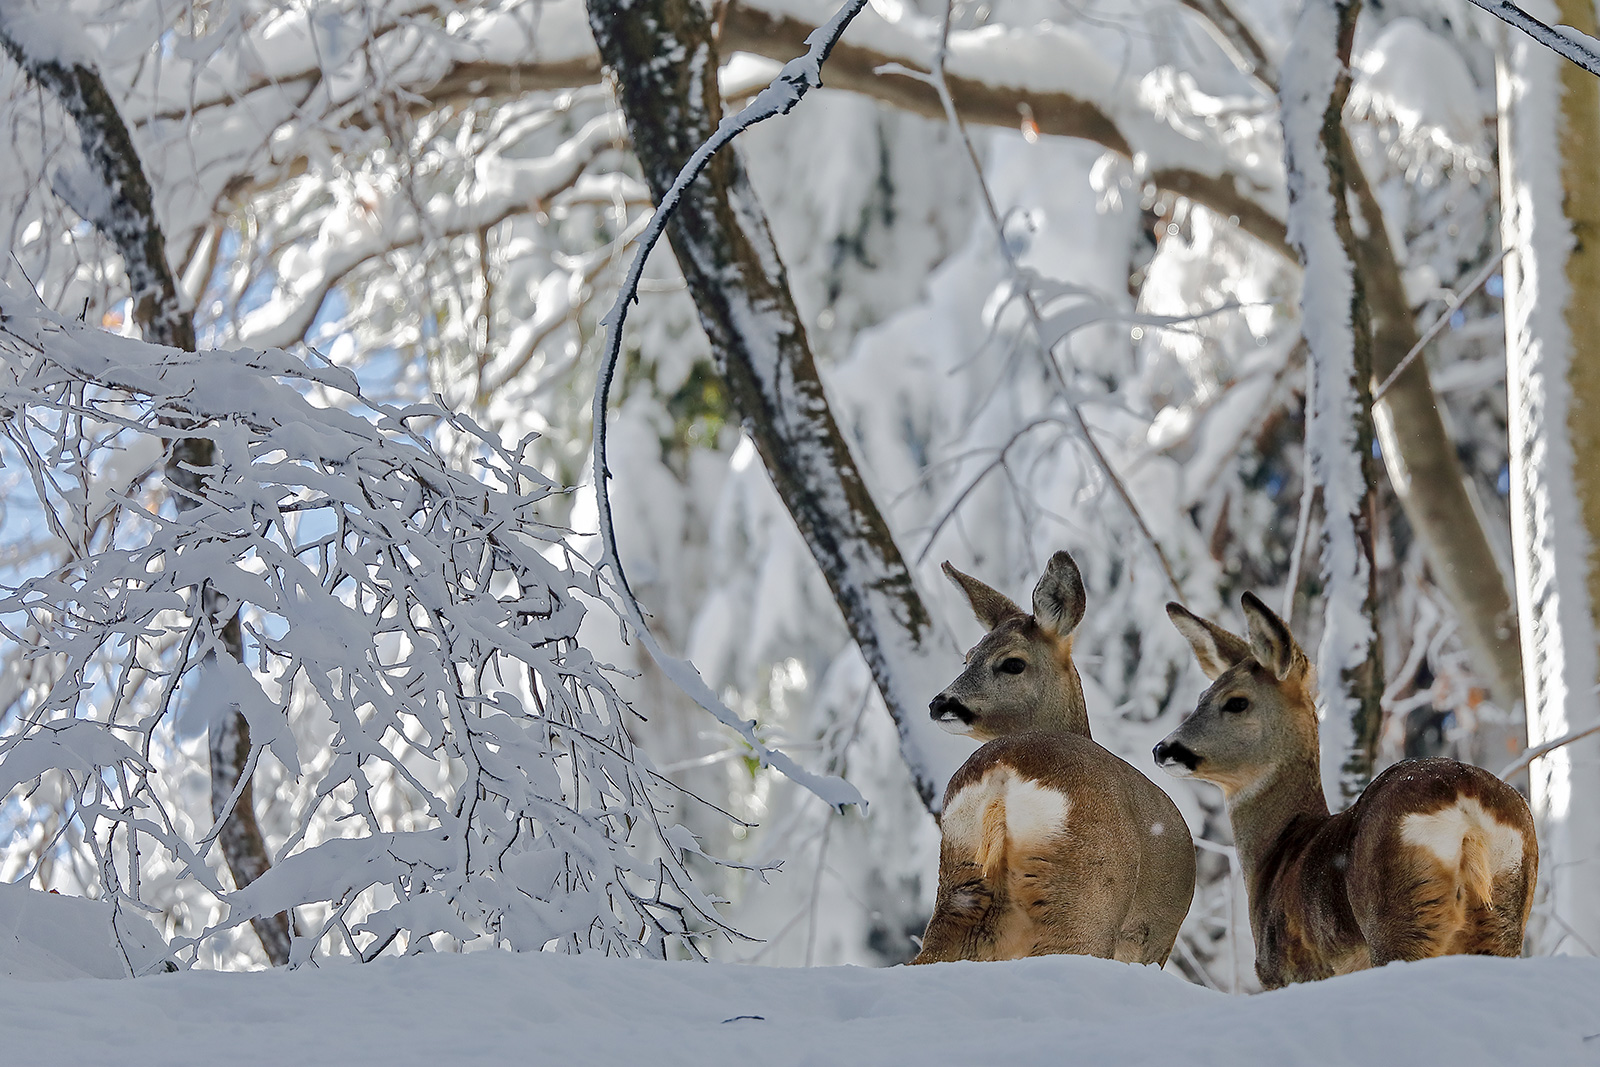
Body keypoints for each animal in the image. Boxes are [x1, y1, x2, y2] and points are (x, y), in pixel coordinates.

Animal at [910, 551, 1196, 966]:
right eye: (968, 659)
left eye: (1011, 662)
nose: (940, 703)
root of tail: (1003, 770)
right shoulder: (1154, 941)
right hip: (1086, 894)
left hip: (959, 883)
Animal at [1154, 593, 1537, 989]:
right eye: (1202, 695)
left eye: (1236, 702)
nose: (1163, 749)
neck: (1278, 851)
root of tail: (1464, 800)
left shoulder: (1289, 971)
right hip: (1503, 913)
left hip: (1398, 918)